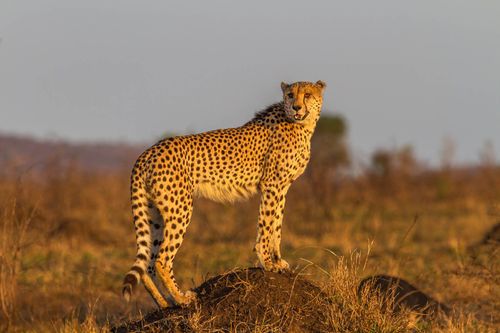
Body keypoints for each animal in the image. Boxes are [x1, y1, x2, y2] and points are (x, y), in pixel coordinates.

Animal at [122, 80, 326, 306]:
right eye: (290, 95)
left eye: (307, 95)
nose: (296, 107)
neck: (303, 126)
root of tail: (148, 152)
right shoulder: (271, 185)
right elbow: (266, 225)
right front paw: (267, 262)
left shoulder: (282, 188)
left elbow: (277, 227)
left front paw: (278, 262)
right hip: (180, 209)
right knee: (162, 259)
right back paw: (182, 298)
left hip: (154, 213)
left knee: (148, 263)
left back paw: (165, 302)